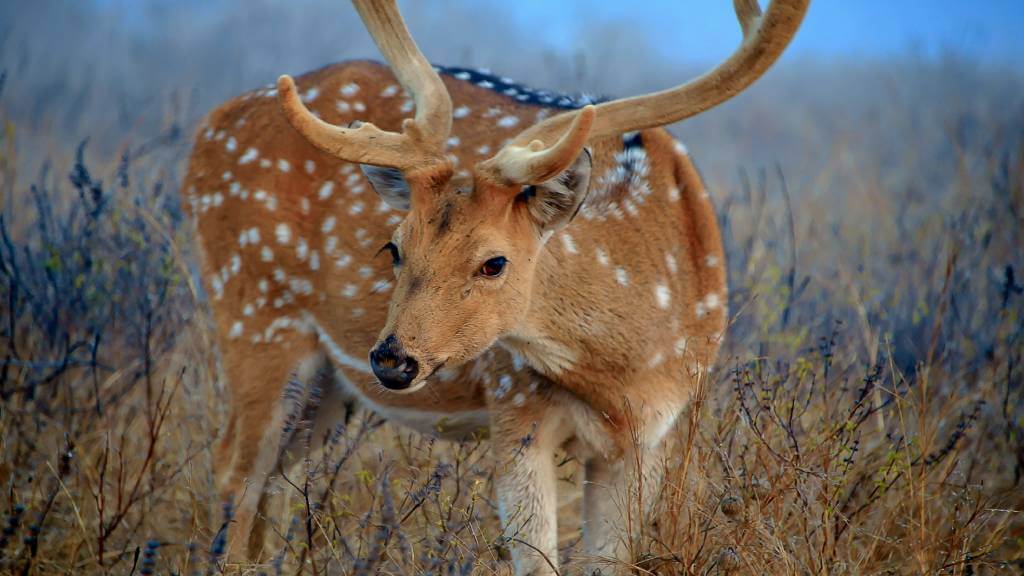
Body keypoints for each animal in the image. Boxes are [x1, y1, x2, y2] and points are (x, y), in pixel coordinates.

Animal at [184, 2, 806, 569]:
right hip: (255, 310)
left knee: (278, 482)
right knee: (234, 472)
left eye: (494, 262)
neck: (623, 374)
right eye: (395, 246)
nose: (392, 359)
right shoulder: (515, 405)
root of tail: (211, 124)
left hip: (327, 382)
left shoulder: (651, 437)